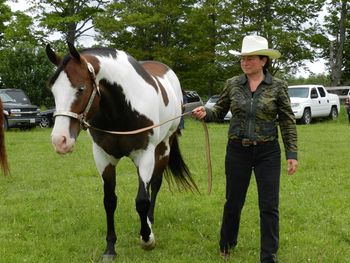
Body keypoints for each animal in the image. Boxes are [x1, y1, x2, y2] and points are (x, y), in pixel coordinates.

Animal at [45, 43, 198, 260]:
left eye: (81, 88)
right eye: (53, 90)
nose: (60, 140)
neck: (121, 110)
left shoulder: (144, 155)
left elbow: (142, 200)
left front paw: (147, 239)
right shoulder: (103, 157)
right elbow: (109, 201)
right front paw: (110, 248)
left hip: (163, 148)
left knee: (155, 185)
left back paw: (150, 222)